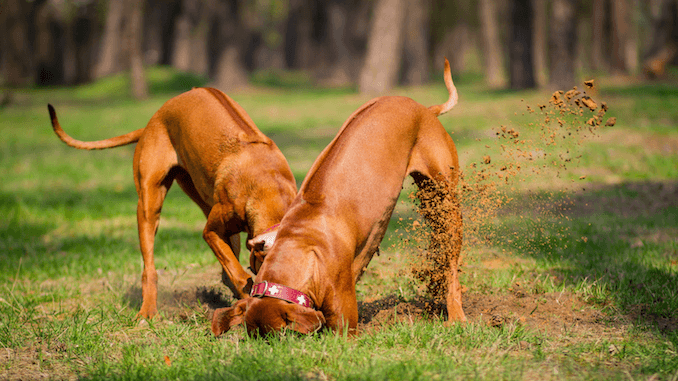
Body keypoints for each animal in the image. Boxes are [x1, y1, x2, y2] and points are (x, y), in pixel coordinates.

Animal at [47, 87, 298, 318]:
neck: (270, 188)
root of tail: (152, 121)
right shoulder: (211, 231)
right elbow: (238, 273)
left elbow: (232, 263)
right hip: (149, 204)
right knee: (149, 268)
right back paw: (147, 312)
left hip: (198, 190)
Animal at [212, 59, 468, 336]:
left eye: (279, 337)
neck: (301, 241)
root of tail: (425, 109)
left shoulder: (342, 315)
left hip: (446, 204)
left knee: (452, 266)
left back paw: (456, 315)